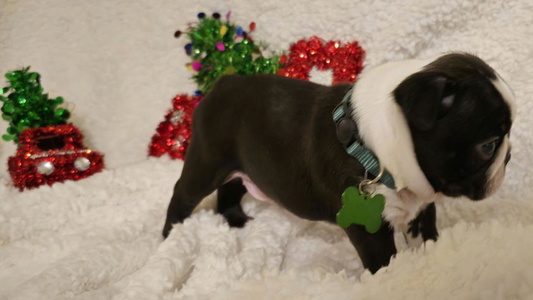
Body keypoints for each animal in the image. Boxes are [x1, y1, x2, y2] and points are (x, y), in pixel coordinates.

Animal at [162, 52, 516, 274]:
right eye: (488, 147)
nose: (510, 155)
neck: (373, 153)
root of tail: (221, 84)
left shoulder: (421, 209)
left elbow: (427, 240)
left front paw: (432, 257)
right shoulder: (368, 228)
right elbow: (384, 261)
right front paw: (393, 277)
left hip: (243, 163)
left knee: (231, 189)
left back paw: (237, 223)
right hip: (208, 160)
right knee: (183, 193)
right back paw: (170, 237)